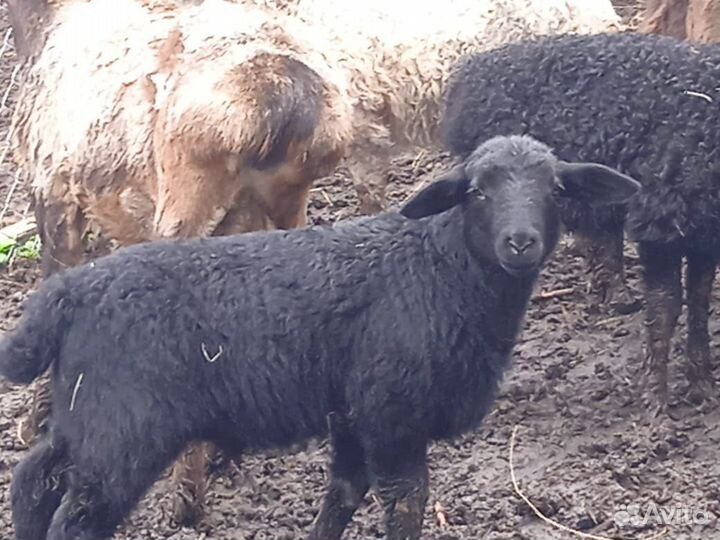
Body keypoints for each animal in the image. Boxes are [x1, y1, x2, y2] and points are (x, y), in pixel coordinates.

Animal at [0, 134, 640, 540]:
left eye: (555, 189)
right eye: (476, 191)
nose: (520, 242)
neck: (442, 268)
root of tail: (69, 293)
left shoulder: (351, 412)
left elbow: (344, 493)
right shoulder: (390, 412)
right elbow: (405, 505)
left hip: (88, 412)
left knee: (33, 480)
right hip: (125, 429)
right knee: (76, 518)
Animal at [441, 31, 720, 415]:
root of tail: (469, 72)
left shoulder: (703, 234)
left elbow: (698, 303)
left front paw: (702, 388)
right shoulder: (659, 223)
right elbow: (666, 307)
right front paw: (656, 402)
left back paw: (616, 296)